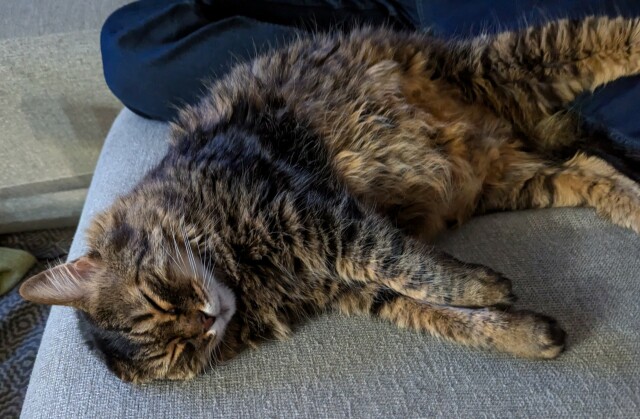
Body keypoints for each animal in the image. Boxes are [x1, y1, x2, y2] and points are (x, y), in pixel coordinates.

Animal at [18, 16, 640, 384]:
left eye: (156, 297)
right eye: (179, 354)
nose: (205, 320)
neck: (247, 279)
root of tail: (511, 130)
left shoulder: (311, 212)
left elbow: (402, 261)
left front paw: (484, 285)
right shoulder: (349, 287)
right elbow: (438, 312)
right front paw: (522, 331)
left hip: (509, 65)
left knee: (612, 35)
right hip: (515, 172)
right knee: (591, 169)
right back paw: (631, 201)